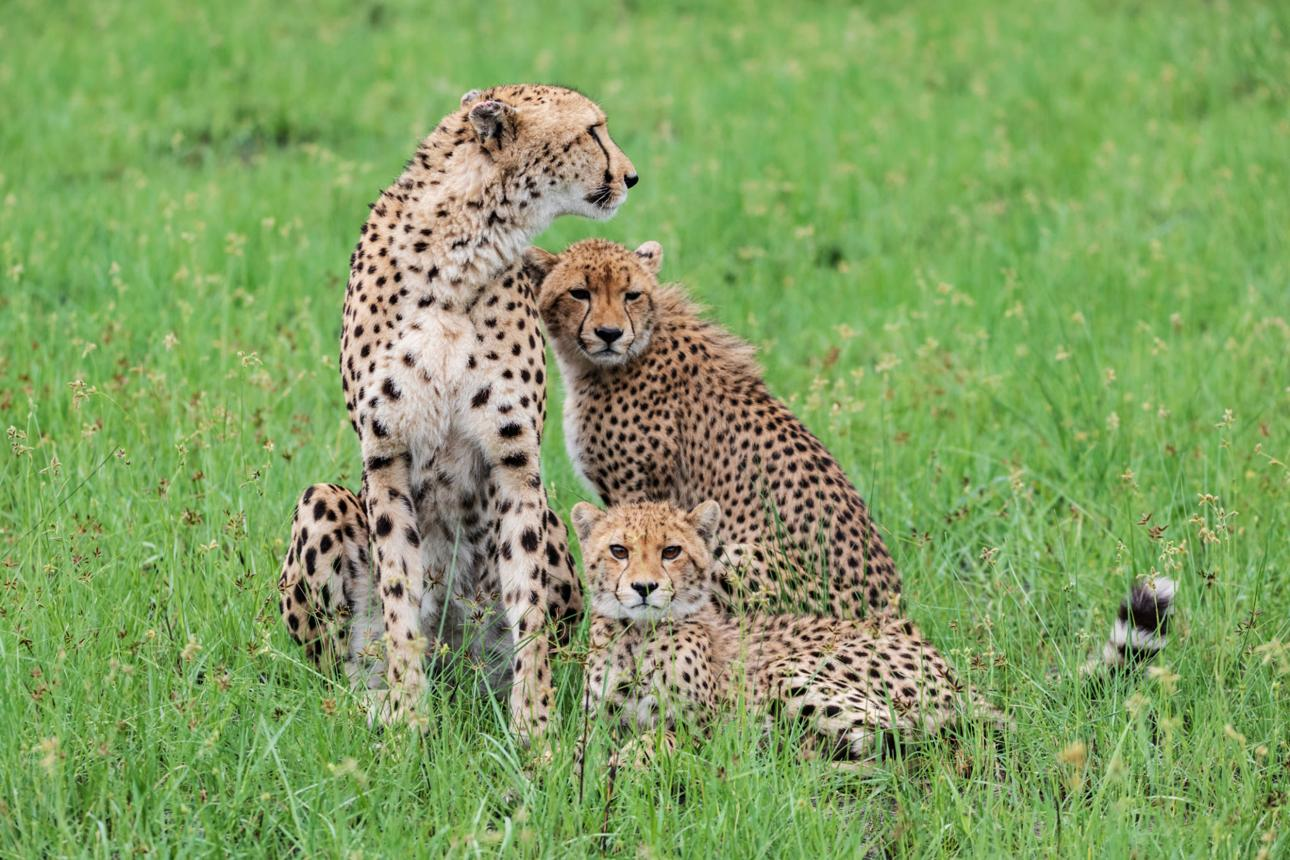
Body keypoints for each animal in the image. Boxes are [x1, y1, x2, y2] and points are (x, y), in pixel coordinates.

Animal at [276, 84, 638, 738]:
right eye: (592, 130)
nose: (630, 176)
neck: (461, 252)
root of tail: (458, 669)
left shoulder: (515, 461)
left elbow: (529, 608)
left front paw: (534, 731)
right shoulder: (386, 457)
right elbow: (399, 594)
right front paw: (408, 721)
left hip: (547, 523)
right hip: (324, 501)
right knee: (336, 667)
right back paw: (372, 701)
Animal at [529, 238, 900, 619]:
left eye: (631, 294)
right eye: (579, 292)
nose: (609, 334)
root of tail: (892, 610)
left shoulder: (639, 494)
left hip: (738, 555)